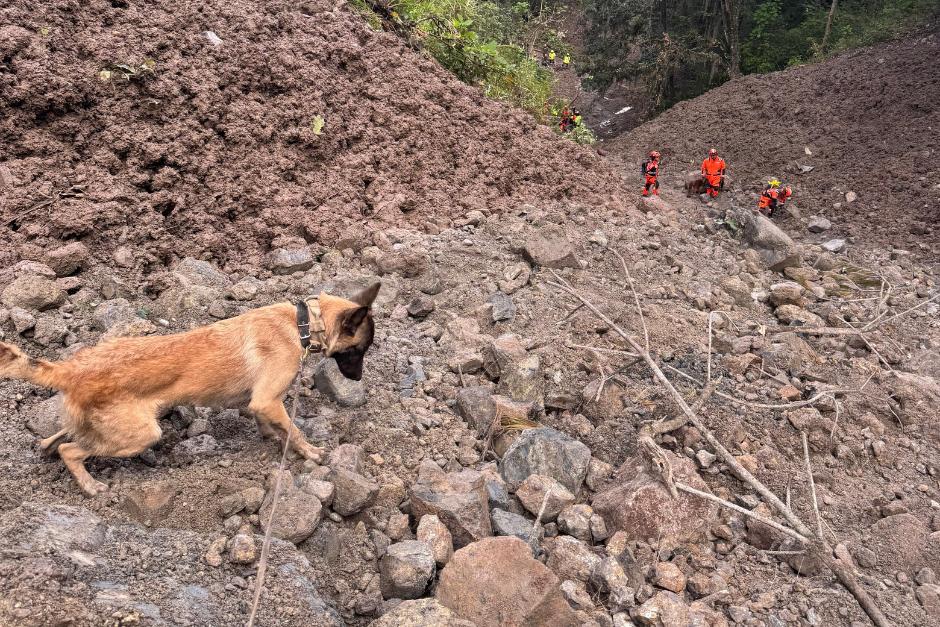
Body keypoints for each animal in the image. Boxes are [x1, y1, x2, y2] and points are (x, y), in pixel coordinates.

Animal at [1, 284, 382, 496]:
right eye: (359, 351)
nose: (357, 380)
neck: (302, 321)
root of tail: (73, 369)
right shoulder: (269, 400)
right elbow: (294, 431)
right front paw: (311, 453)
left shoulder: (260, 402)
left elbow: (266, 421)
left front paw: (269, 435)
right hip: (141, 434)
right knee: (71, 451)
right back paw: (90, 485)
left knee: (57, 438)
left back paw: (48, 446)